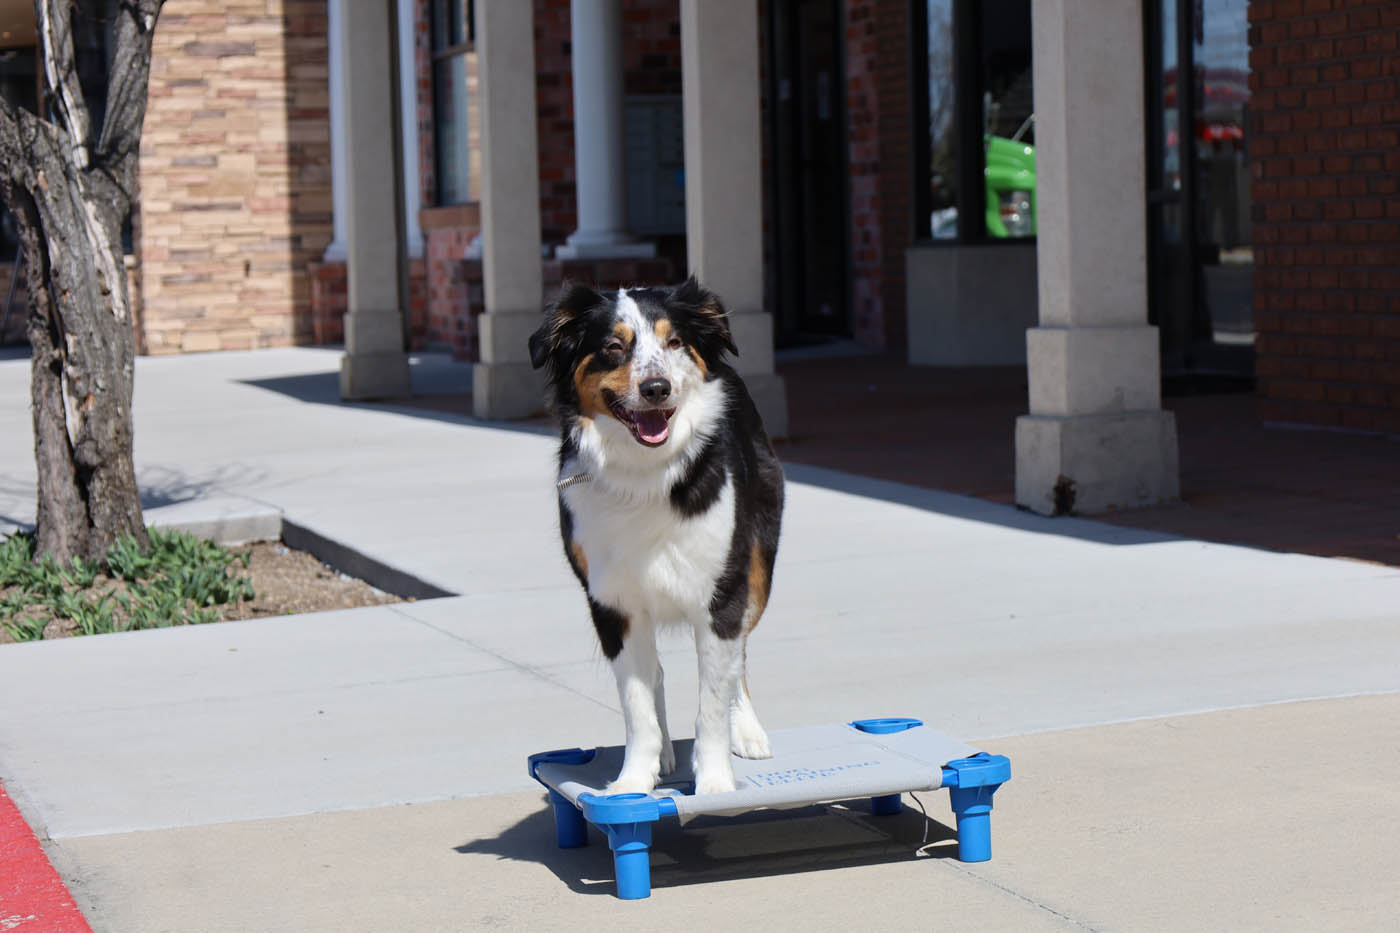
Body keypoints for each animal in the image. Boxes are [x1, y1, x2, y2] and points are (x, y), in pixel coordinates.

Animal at [526, 277, 789, 790]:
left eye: (674, 343)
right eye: (613, 346)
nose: (655, 388)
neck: (644, 474)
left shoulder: (720, 596)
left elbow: (713, 699)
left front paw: (715, 783)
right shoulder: (612, 603)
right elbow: (638, 702)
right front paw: (634, 782)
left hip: (757, 571)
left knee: (740, 659)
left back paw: (747, 731)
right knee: (658, 673)